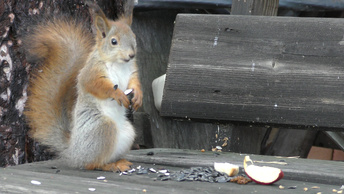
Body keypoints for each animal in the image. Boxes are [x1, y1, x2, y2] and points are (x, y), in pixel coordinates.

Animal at [24, 0, 142, 171]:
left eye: (134, 37)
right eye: (113, 41)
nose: (131, 55)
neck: (119, 63)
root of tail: (73, 152)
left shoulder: (132, 71)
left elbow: (135, 83)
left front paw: (138, 96)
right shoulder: (92, 72)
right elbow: (97, 85)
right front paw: (117, 94)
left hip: (127, 132)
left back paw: (119, 162)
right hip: (102, 129)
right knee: (91, 164)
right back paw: (109, 166)